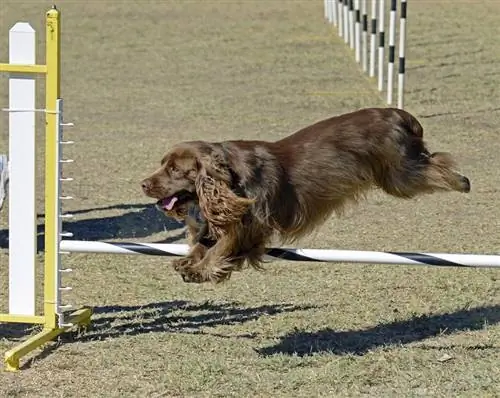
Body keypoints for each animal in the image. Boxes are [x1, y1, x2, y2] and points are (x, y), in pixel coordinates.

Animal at [142, 107, 472, 284]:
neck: (229, 178)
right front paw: (187, 263)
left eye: (174, 169)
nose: (143, 184)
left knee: (438, 164)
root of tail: (398, 113)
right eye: (162, 164)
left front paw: (201, 270)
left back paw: (462, 182)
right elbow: (204, 243)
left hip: (400, 175)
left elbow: (222, 248)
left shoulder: (252, 226)